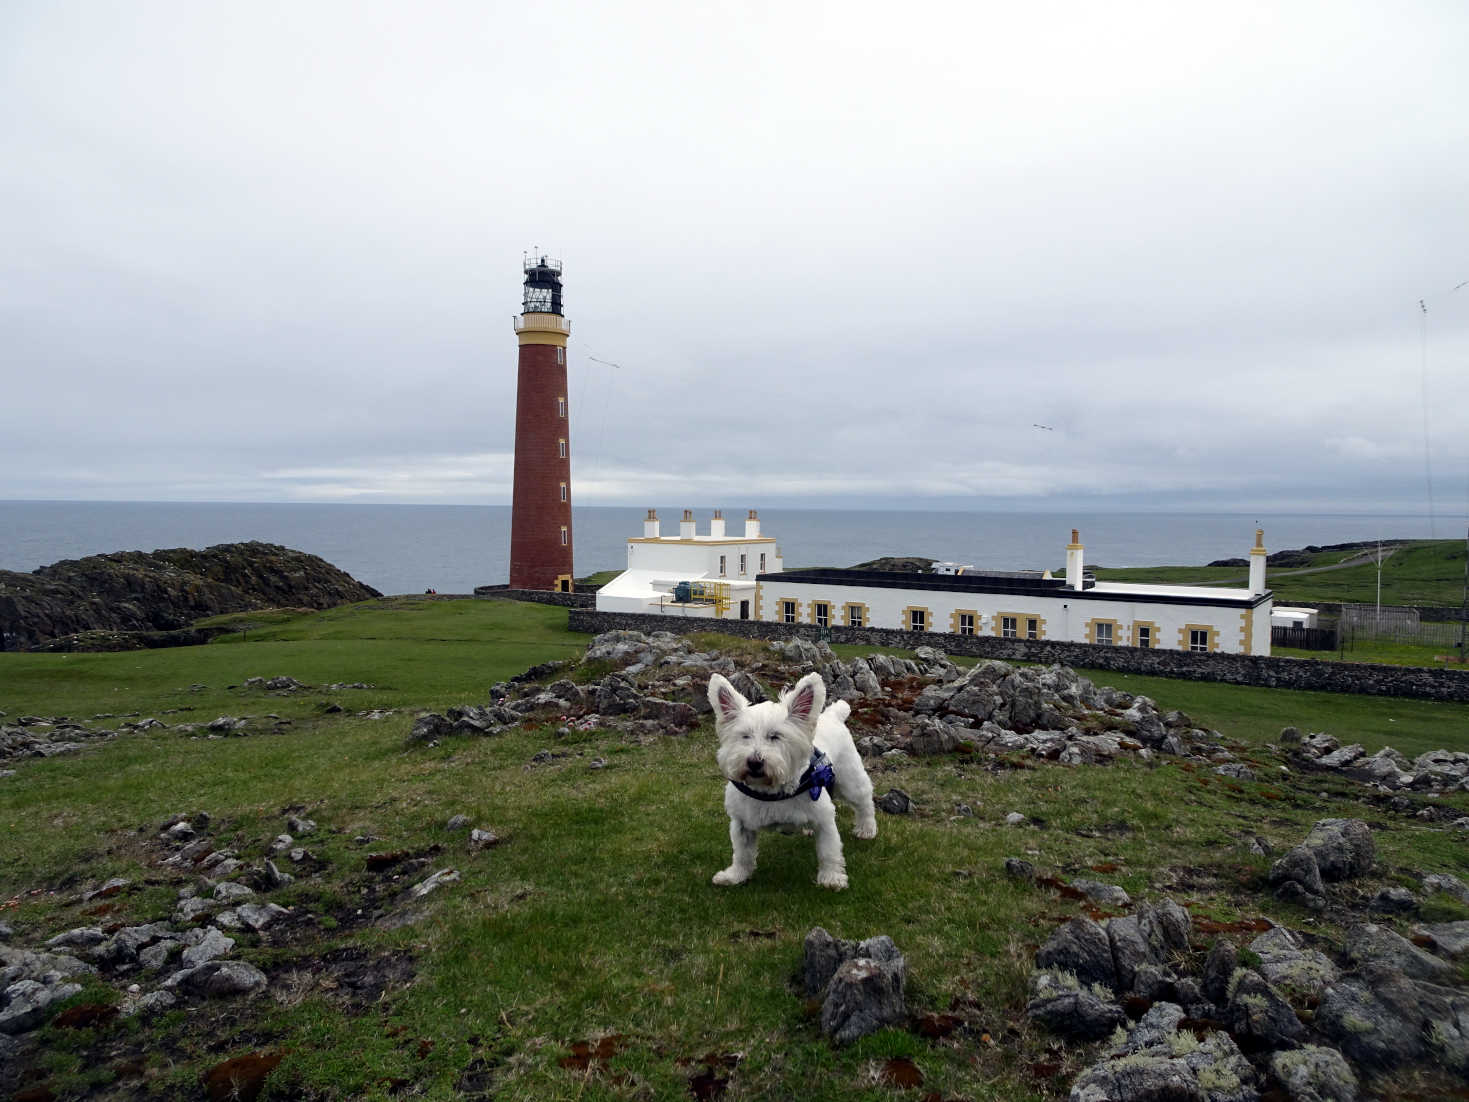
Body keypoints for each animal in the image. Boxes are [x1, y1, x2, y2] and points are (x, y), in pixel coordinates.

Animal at [708, 670, 875, 893]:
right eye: (744, 736)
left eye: (775, 736)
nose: (754, 762)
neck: (769, 790)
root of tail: (833, 715)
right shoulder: (741, 823)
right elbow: (743, 855)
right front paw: (734, 876)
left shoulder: (825, 819)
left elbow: (829, 852)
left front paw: (831, 878)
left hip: (850, 781)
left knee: (865, 801)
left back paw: (867, 829)